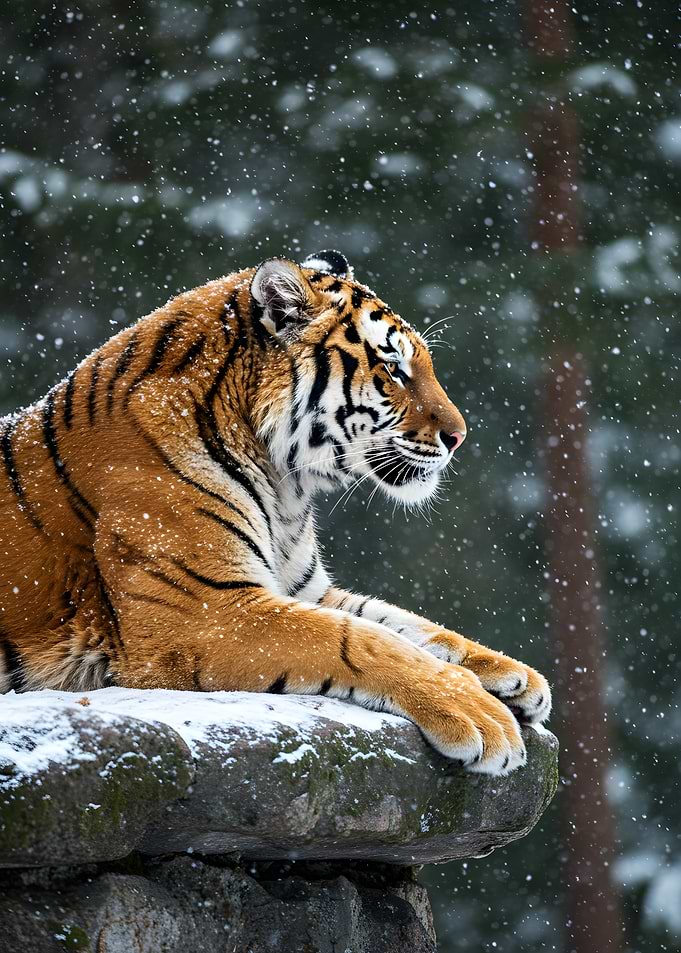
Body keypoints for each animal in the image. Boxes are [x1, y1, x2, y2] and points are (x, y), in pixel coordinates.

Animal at [0, 250, 551, 775]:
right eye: (394, 368)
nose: (459, 437)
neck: (285, 485)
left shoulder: (304, 589)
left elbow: (403, 622)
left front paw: (516, 677)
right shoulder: (206, 613)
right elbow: (359, 639)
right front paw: (477, 713)